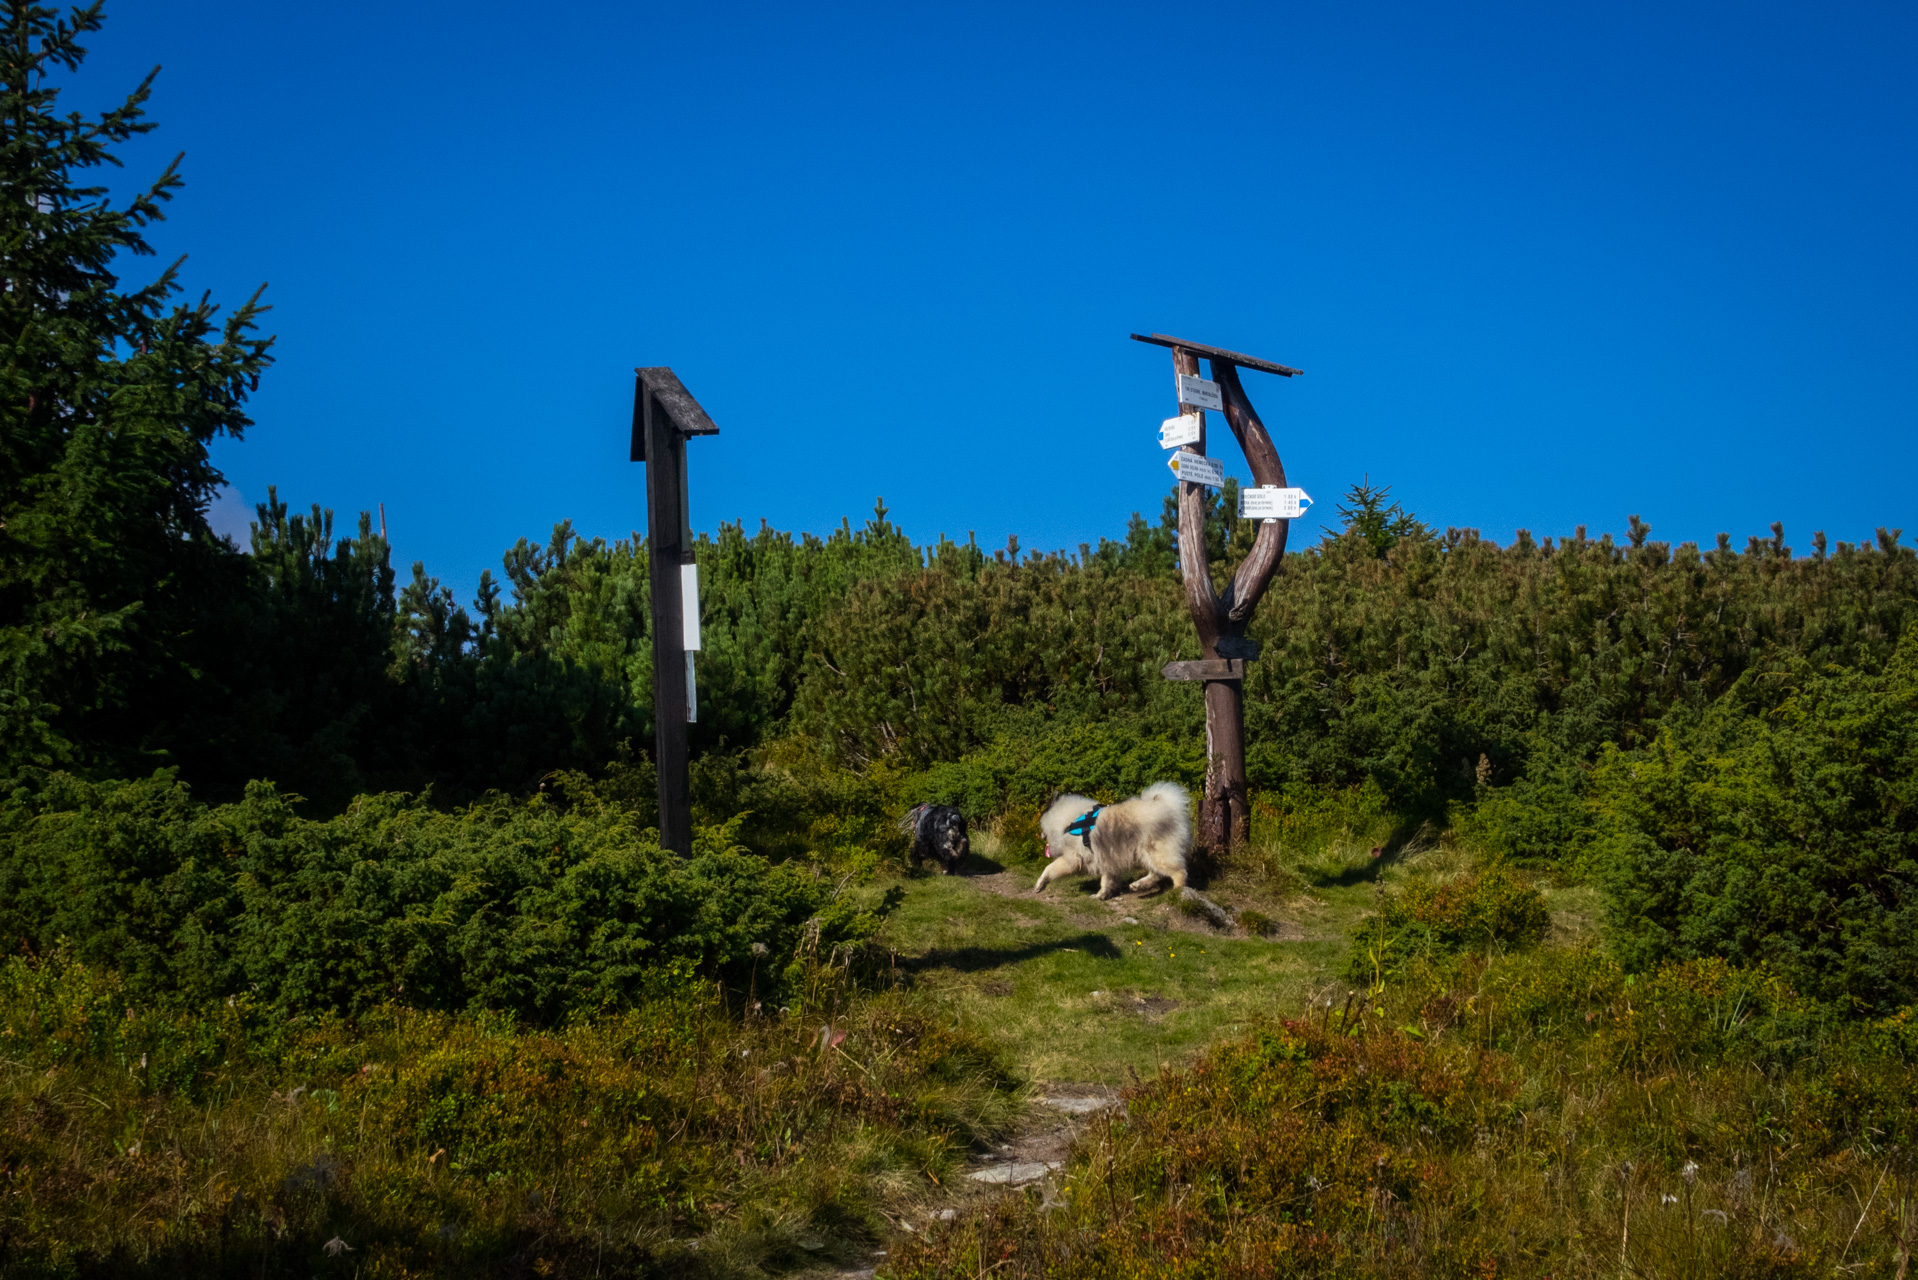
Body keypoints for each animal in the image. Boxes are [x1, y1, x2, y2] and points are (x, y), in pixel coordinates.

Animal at [1035, 782, 1181, 901]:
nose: (1041, 835)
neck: (1070, 822)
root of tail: (1166, 806)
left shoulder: (1072, 859)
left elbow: (1048, 869)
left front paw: (1040, 884)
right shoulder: (1107, 859)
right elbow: (1106, 881)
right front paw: (1102, 896)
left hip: (1156, 854)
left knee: (1178, 873)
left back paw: (1177, 892)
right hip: (1147, 855)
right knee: (1157, 874)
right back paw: (1138, 885)